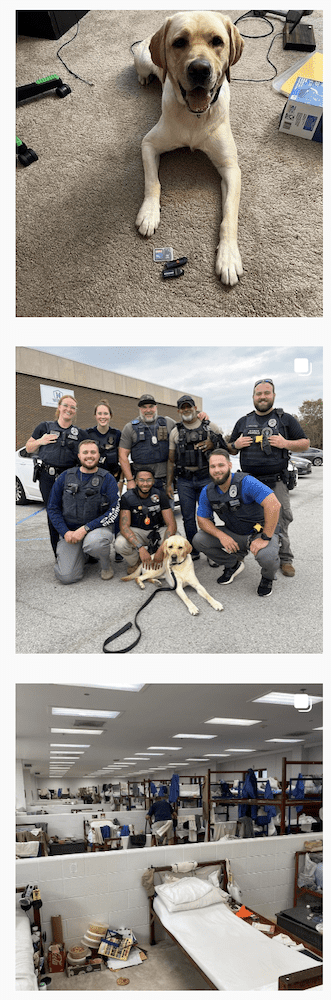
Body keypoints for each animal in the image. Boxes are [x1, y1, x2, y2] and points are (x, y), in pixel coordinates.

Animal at [132, 10, 244, 286]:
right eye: (180, 42)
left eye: (217, 41)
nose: (200, 69)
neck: (195, 116)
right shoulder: (148, 143)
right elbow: (153, 182)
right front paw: (149, 214)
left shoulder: (231, 168)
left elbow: (229, 217)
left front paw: (228, 258)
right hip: (143, 59)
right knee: (143, 67)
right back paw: (144, 77)